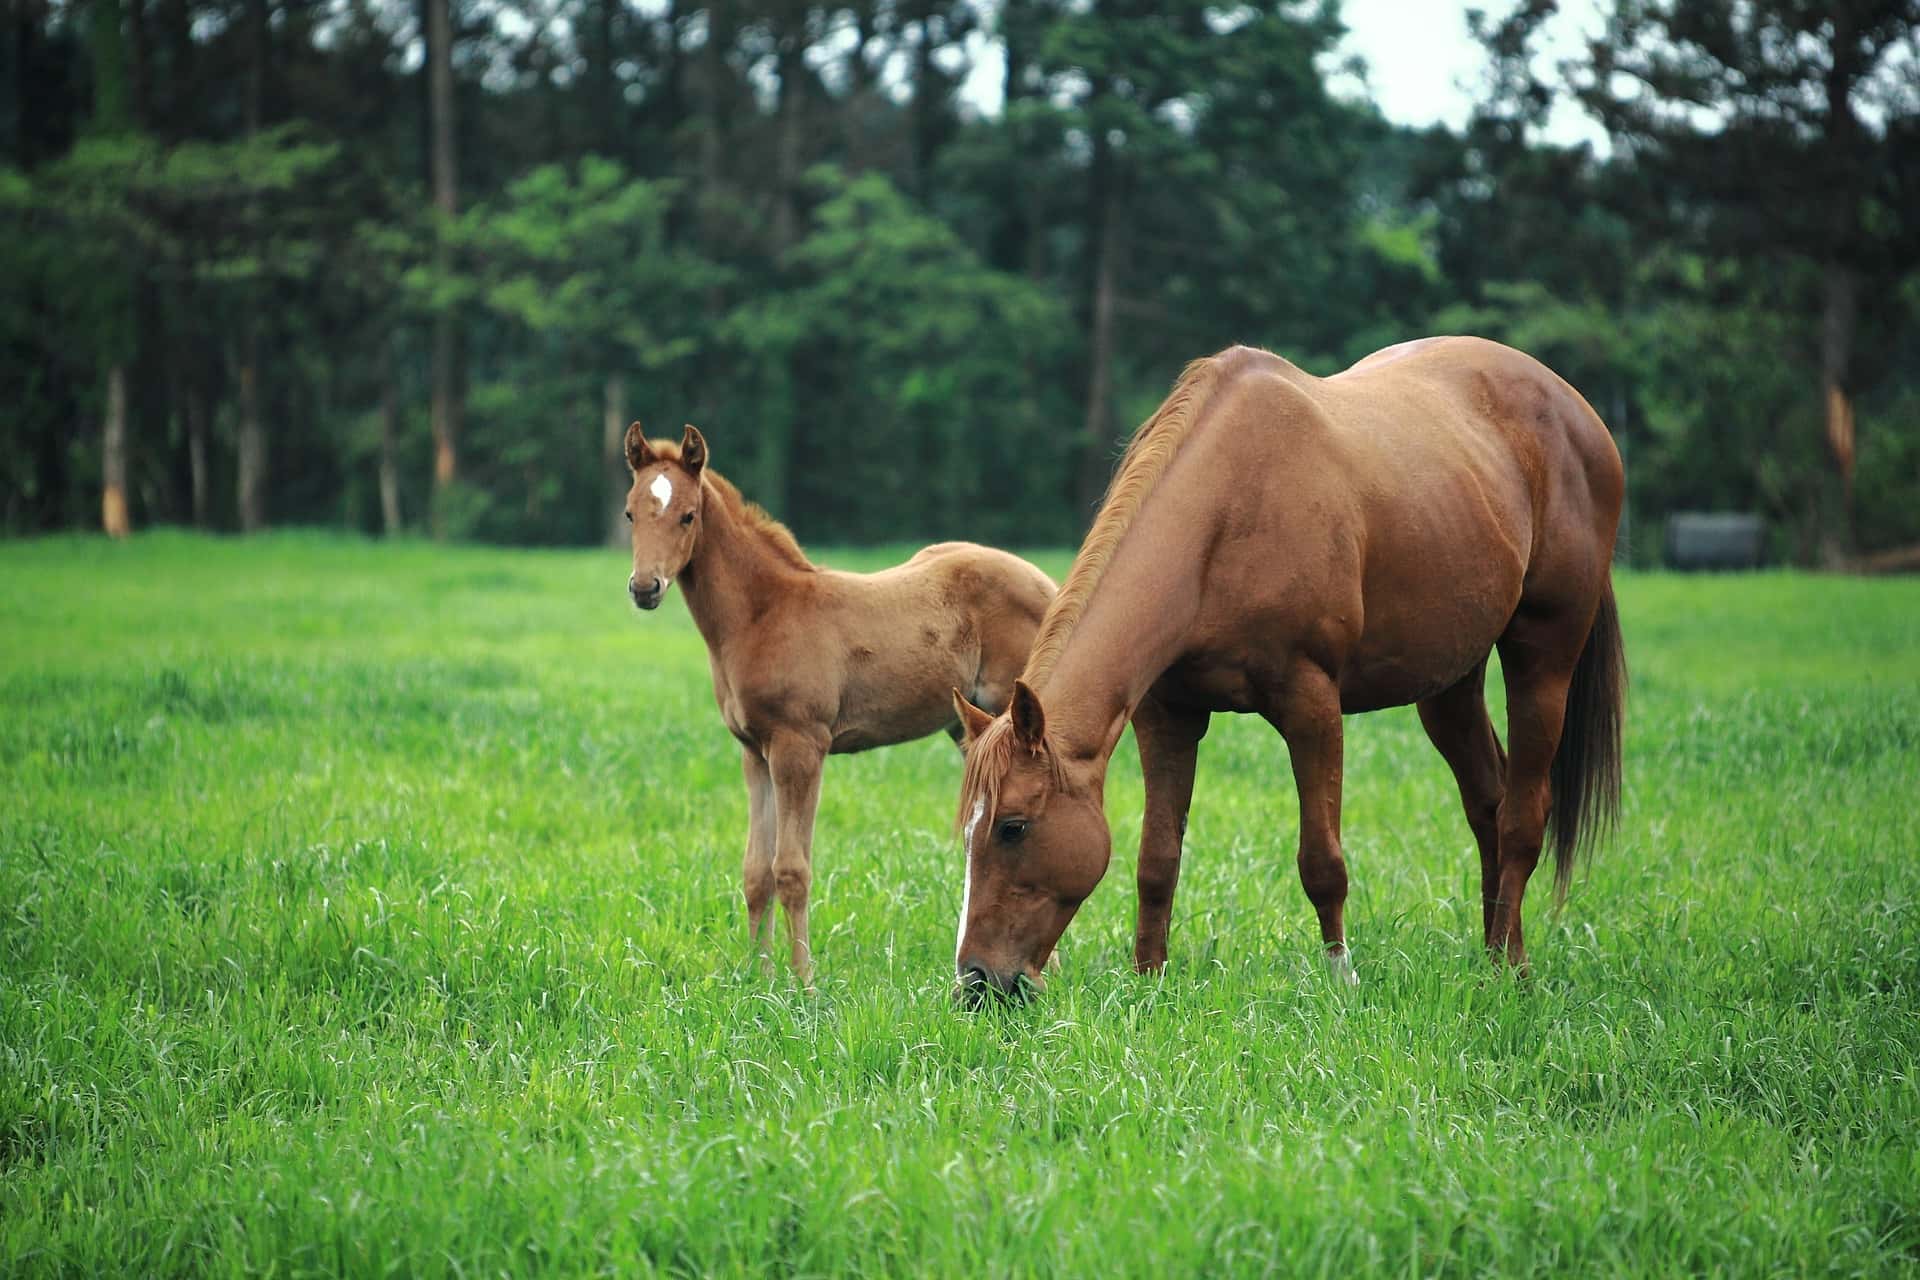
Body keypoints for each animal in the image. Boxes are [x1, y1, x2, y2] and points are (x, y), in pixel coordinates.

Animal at [622, 422, 1057, 983]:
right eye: (630, 512)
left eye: (687, 515)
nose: (645, 588)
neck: (762, 615)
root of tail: (1047, 584)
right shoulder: (754, 752)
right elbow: (756, 872)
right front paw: (758, 979)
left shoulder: (799, 747)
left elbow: (792, 869)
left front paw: (804, 982)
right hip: (970, 730)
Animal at [951, 338, 1625, 1000]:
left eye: (1012, 827)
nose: (977, 982)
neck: (1225, 515)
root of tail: (1576, 411)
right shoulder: (1168, 716)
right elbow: (1157, 859)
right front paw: (1149, 982)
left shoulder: (1311, 705)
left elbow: (1322, 863)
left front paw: (1341, 981)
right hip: (1449, 683)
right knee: (1487, 803)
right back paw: (1489, 961)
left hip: (1544, 657)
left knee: (1521, 817)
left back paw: (1512, 971)